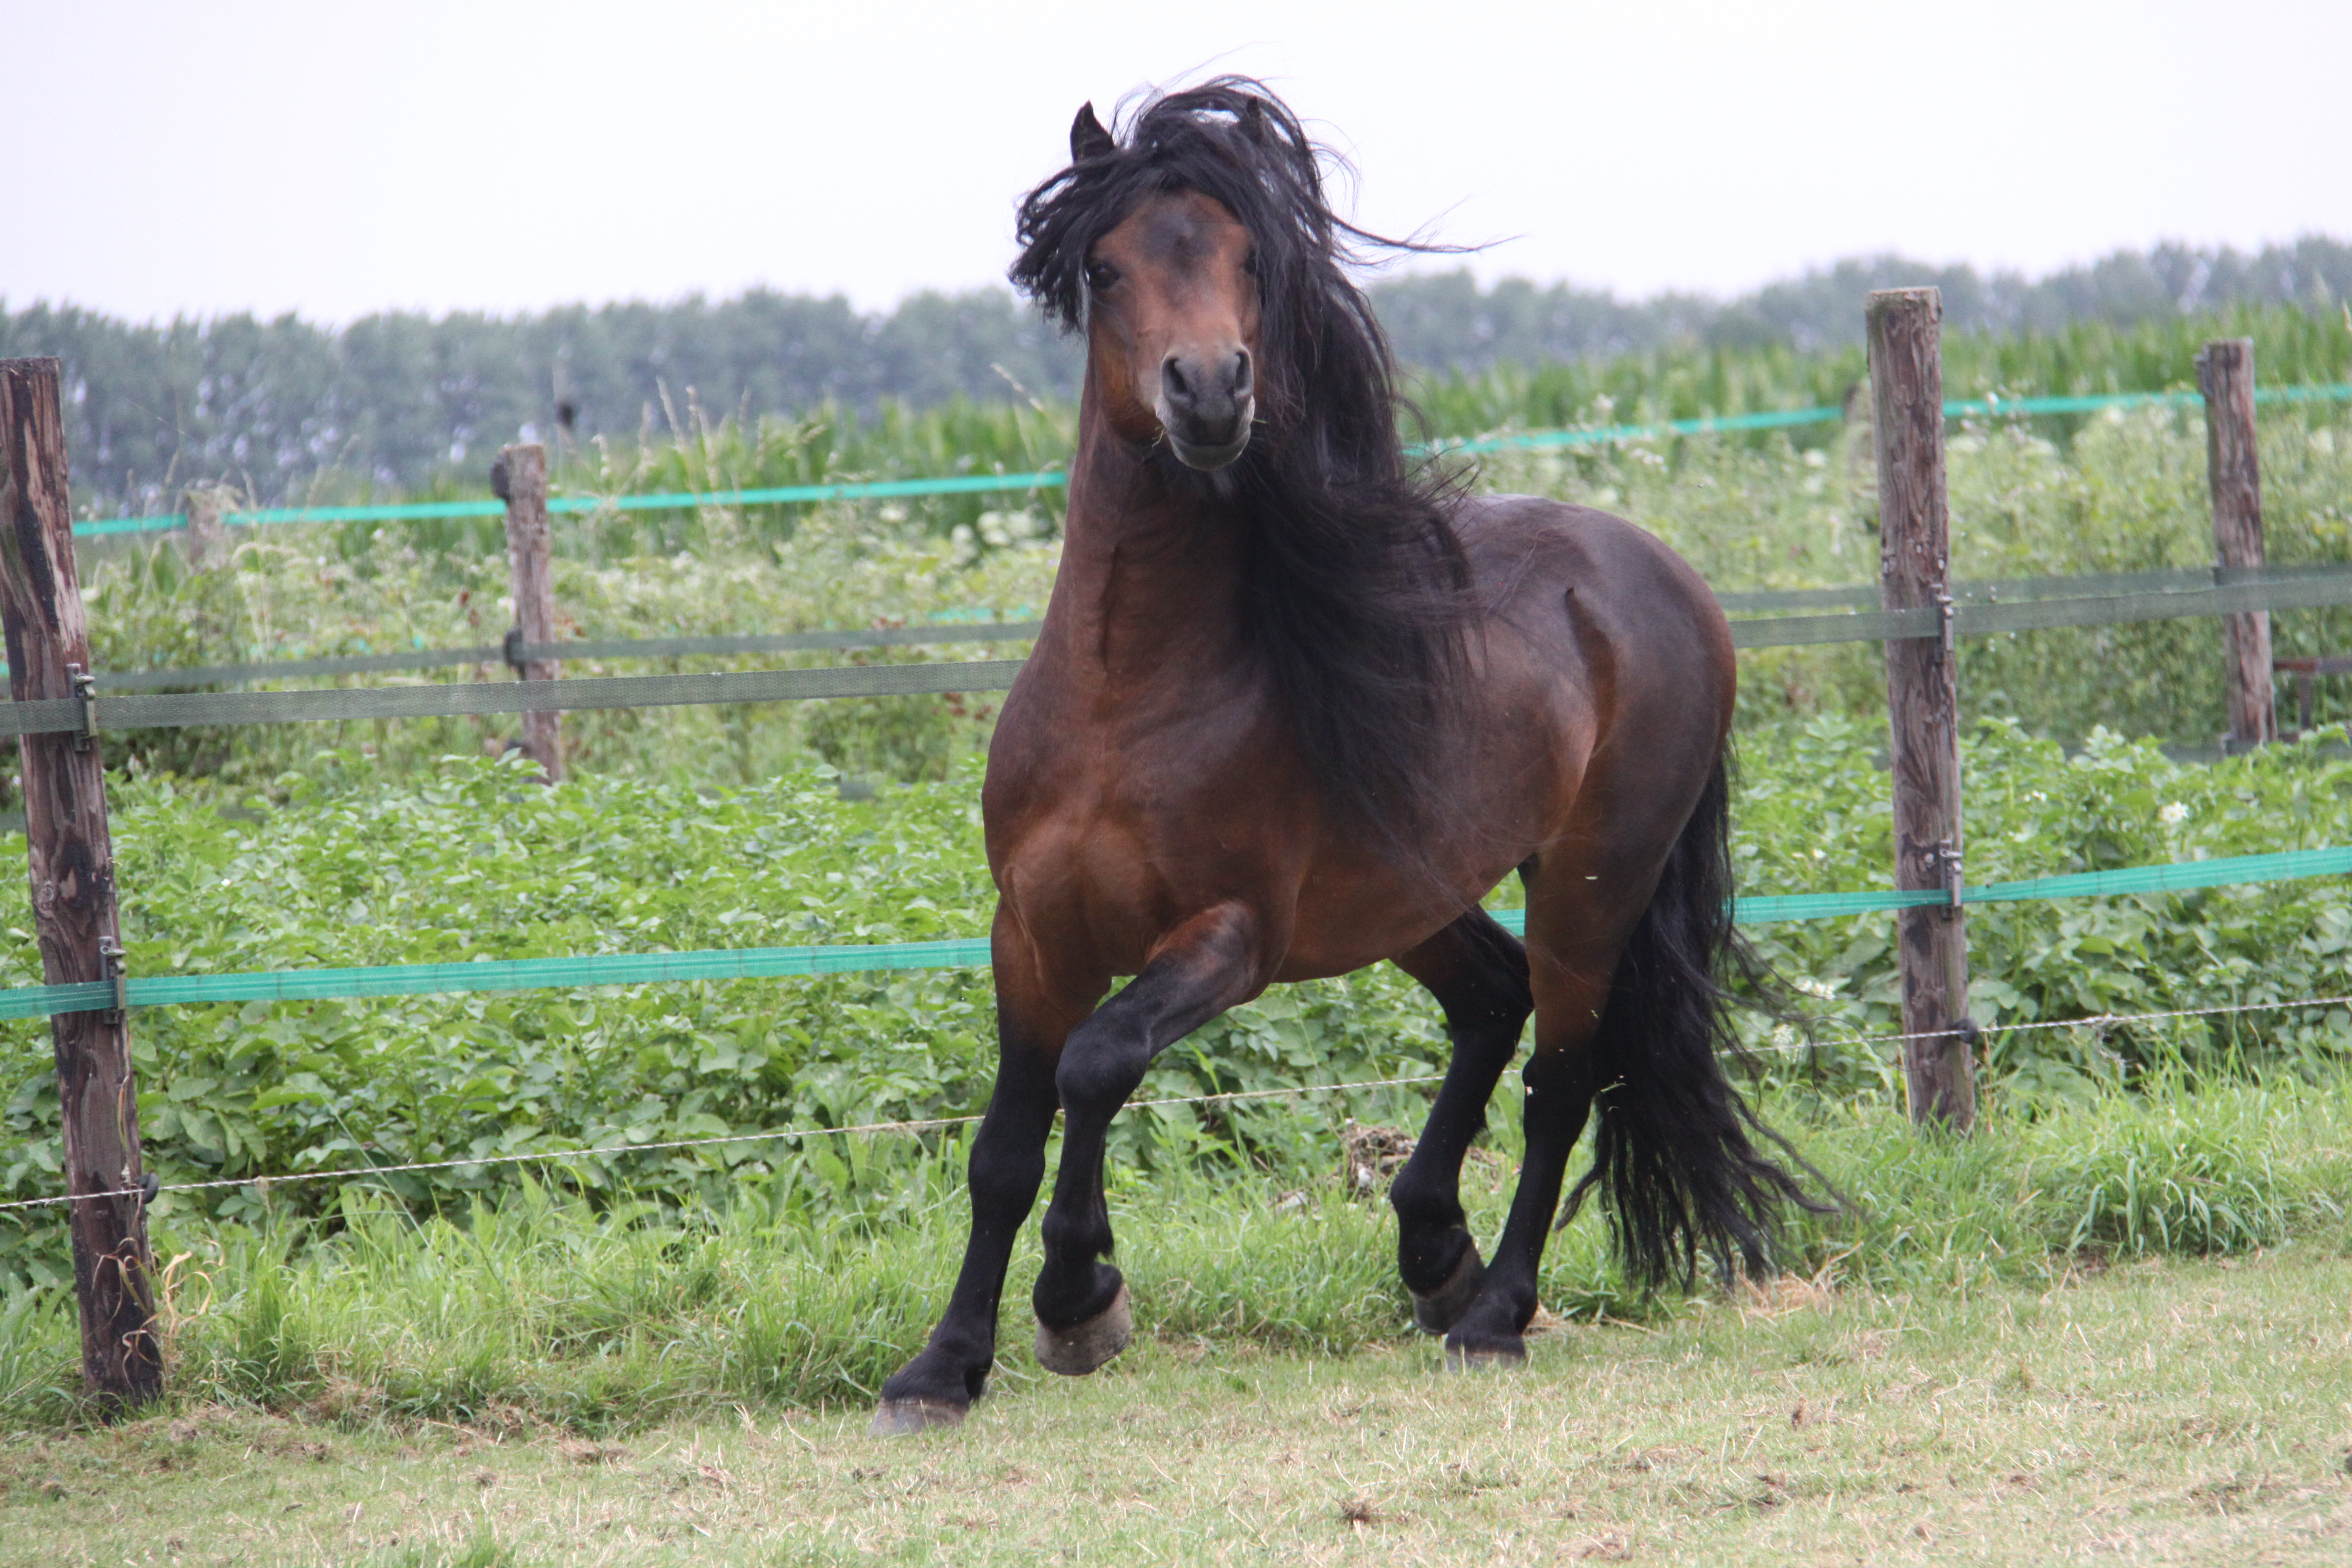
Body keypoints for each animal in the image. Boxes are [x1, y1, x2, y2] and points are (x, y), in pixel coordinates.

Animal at [871, 79, 1819, 1435]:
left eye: (1250, 259)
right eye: (1105, 267)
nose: (1210, 392)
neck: (1124, 698)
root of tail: (1661, 574)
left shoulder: (1233, 938)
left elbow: (1098, 1064)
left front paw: (1079, 1299)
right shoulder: (1031, 935)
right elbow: (1001, 1146)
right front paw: (941, 1367)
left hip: (1593, 878)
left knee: (1561, 1076)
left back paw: (1491, 1314)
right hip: (1407, 893)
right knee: (1491, 1000)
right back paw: (1433, 1251)